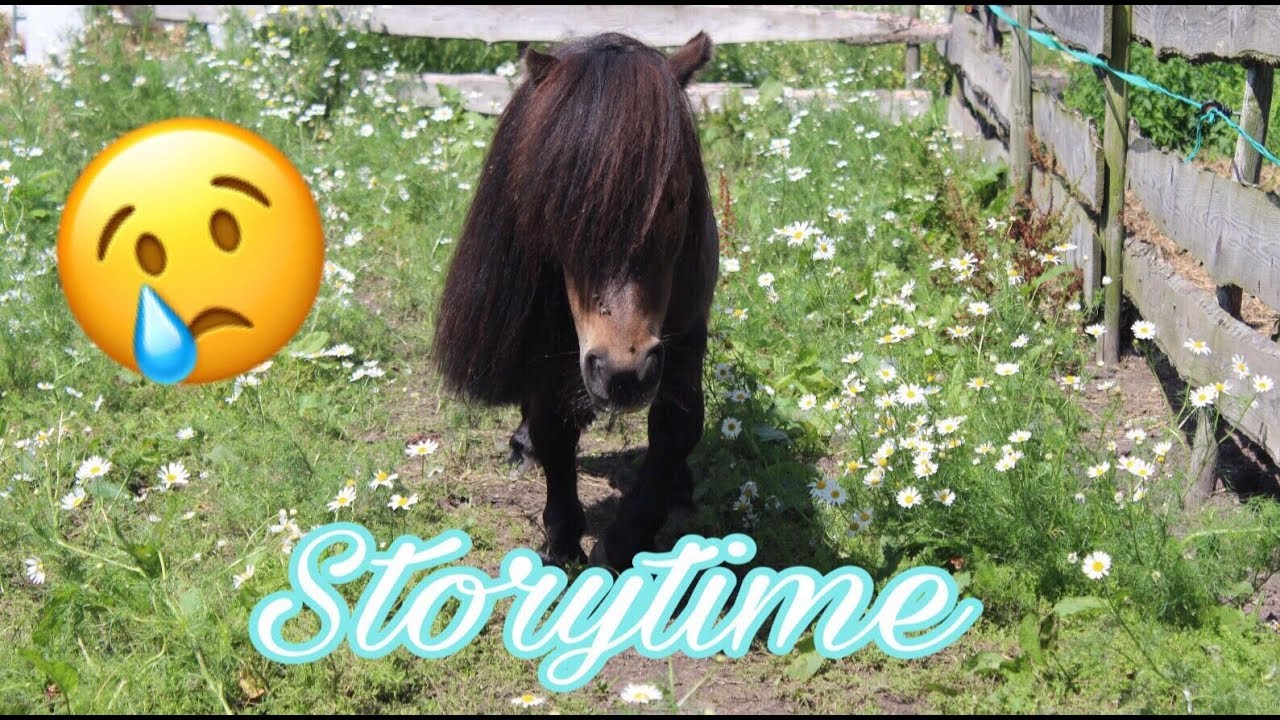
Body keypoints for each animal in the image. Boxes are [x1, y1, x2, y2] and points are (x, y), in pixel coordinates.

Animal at [431, 31, 718, 569]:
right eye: (561, 206)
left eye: (673, 199)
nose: (625, 374)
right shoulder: (543, 346)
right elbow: (554, 430)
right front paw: (562, 541)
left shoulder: (687, 334)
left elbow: (677, 429)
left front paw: (625, 542)